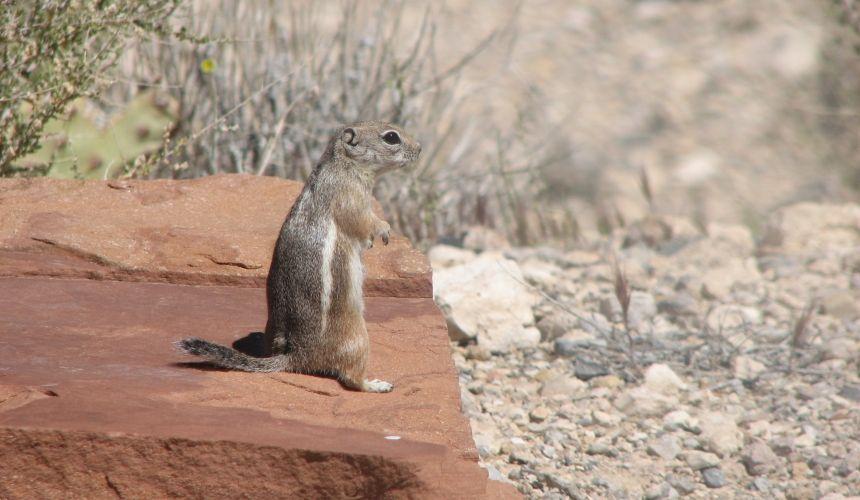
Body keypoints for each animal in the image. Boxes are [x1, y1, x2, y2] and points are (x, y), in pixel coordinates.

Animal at [177, 122, 424, 394]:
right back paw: (375, 384)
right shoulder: (352, 198)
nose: (420, 149)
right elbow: (364, 222)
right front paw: (384, 230)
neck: (343, 164)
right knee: (350, 378)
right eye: (391, 137)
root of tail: (297, 354)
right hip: (358, 336)